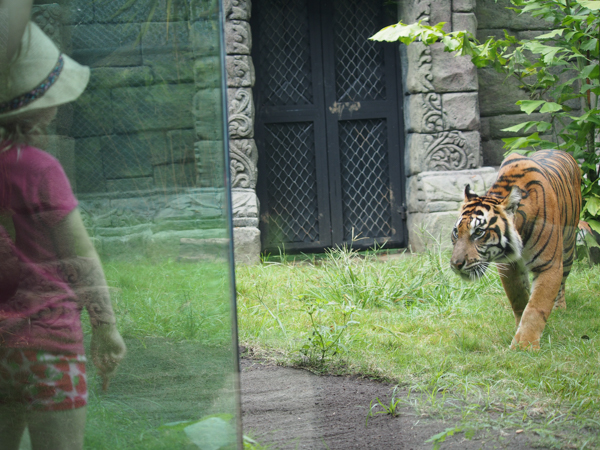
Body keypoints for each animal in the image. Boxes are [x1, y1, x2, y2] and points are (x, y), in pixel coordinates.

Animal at [450, 149, 580, 350]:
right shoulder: (508, 265)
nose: (456, 264)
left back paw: (560, 308)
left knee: (562, 284)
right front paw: (520, 332)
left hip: (568, 248)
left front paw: (525, 345)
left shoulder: (549, 265)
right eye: (457, 232)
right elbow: (518, 298)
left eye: (479, 232)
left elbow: (536, 306)